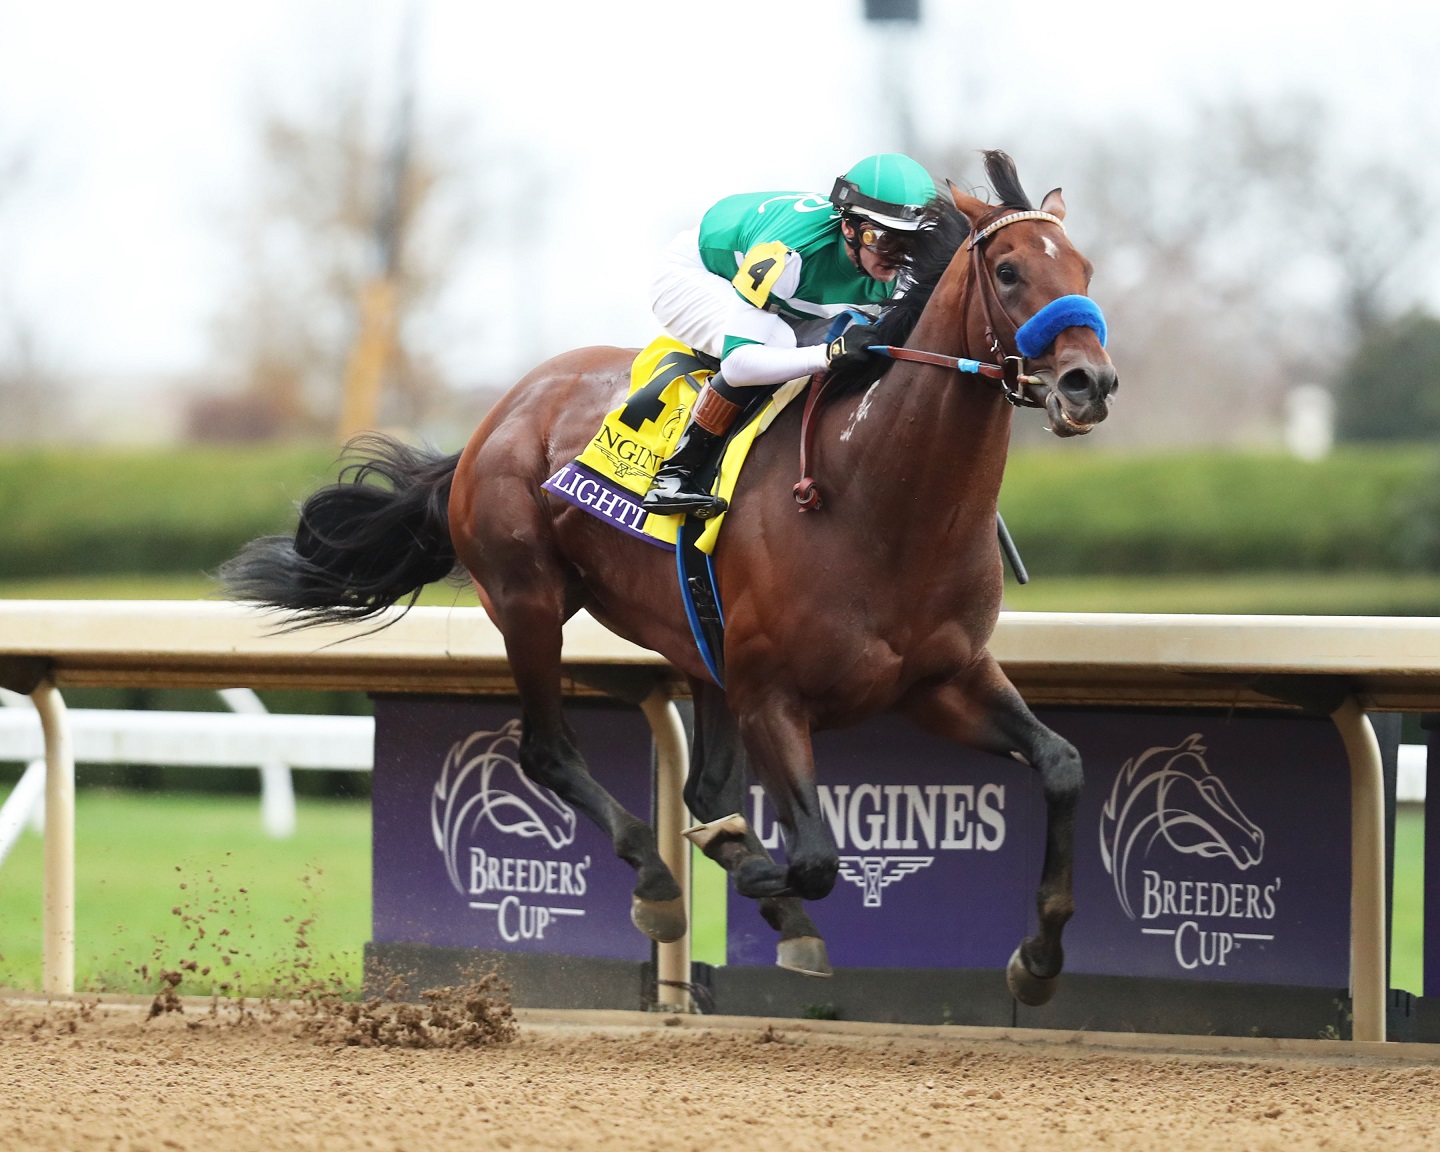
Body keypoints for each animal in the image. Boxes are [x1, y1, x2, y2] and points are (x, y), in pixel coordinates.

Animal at [227, 155, 1123, 1008]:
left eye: (1083, 267)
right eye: (1008, 270)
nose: (1090, 383)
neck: (881, 504)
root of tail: (500, 414)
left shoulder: (942, 680)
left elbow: (1063, 765)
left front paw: (1038, 960)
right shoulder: (772, 695)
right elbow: (816, 857)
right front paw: (742, 865)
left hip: (698, 645)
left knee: (702, 783)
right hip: (529, 601)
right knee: (547, 750)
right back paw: (659, 883)